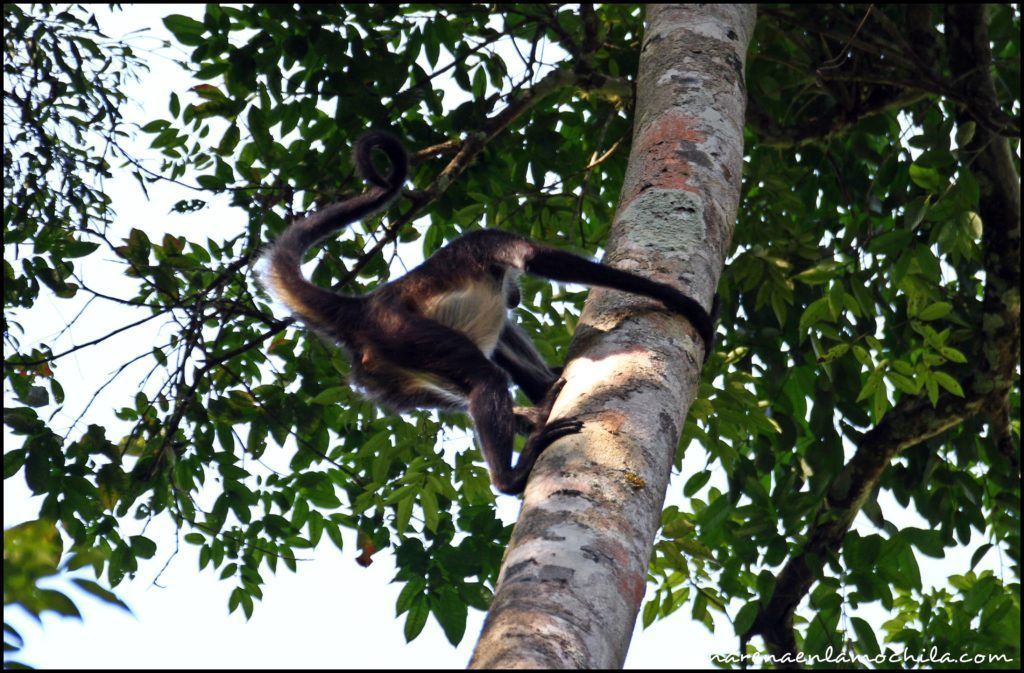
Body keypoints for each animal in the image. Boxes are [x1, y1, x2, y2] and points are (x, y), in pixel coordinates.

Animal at [268, 130, 716, 493]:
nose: (515, 297)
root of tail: (362, 309)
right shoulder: (487, 238)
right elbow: (537, 260)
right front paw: (678, 302)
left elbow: (505, 337)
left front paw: (545, 386)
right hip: (400, 332)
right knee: (485, 376)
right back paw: (510, 477)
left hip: (384, 376)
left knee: (462, 386)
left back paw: (534, 413)